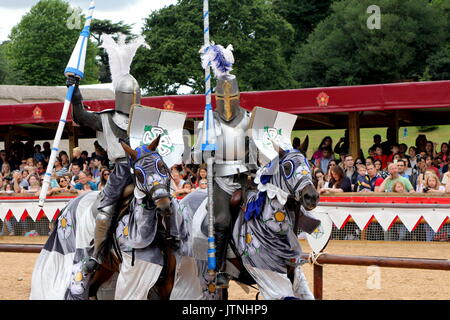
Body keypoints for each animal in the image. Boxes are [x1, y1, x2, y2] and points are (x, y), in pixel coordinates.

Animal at [29, 137, 183, 300]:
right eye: (139, 174)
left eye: (162, 166)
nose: (164, 205)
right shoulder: (134, 279)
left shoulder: (167, 282)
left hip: (105, 268)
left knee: (92, 290)